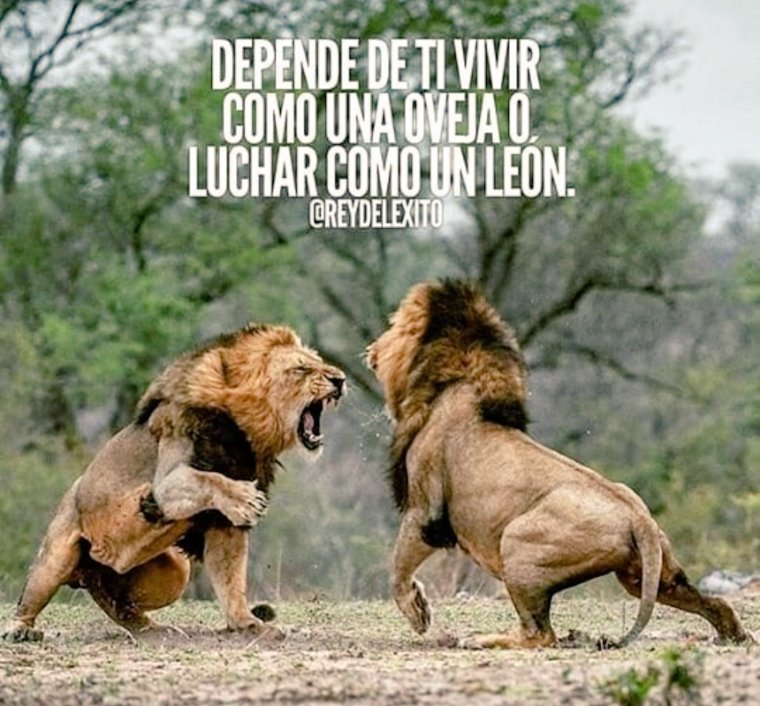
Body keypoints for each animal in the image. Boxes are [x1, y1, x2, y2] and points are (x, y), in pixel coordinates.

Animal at [3, 324, 345, 642]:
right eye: (301, 369)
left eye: (320, 362)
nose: (340, 379)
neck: (248, 435)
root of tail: (91, 573)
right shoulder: (166, 481)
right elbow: (207, 479)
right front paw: (245, 498)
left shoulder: (223, 524)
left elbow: (231, 579)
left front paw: (247, 624)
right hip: (55, 557)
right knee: (32, 597)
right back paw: (20, 631)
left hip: (175, 571)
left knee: (122, 605)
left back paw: (154, 629)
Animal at [366, 280, 750, 648]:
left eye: (393, 326)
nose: (370, 349)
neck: (456, 382)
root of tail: (639, 517)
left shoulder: (425, 511)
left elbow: (397, 568)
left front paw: (418, 614)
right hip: (648, 576)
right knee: (717, 603)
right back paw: (734, 636)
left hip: (516, 544)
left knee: (540, 635)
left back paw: (479, 639)